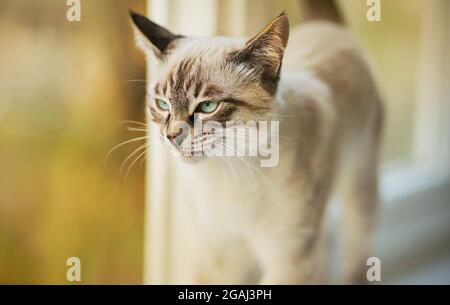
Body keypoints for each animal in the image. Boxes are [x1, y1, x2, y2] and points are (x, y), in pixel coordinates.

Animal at [130, 0, 384, 284]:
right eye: (162, 104)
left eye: (208, 106)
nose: (172, 135)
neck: (227, 172)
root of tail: (328, 28)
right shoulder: (219, 252)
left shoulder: (289, 260)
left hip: (359, 187)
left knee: (357, 240)